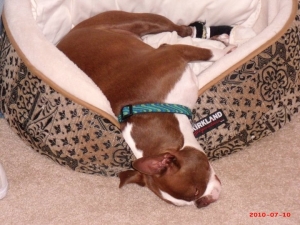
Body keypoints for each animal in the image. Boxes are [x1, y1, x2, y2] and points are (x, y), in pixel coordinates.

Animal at [58, 10, 227, 207]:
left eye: (196, 191)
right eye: (194, 196)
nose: (203, 203)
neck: (159, 110)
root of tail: (66, 35)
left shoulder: (173, 51)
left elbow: (211, 53)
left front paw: (229, 50)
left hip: (144, 21)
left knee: (180, 29)